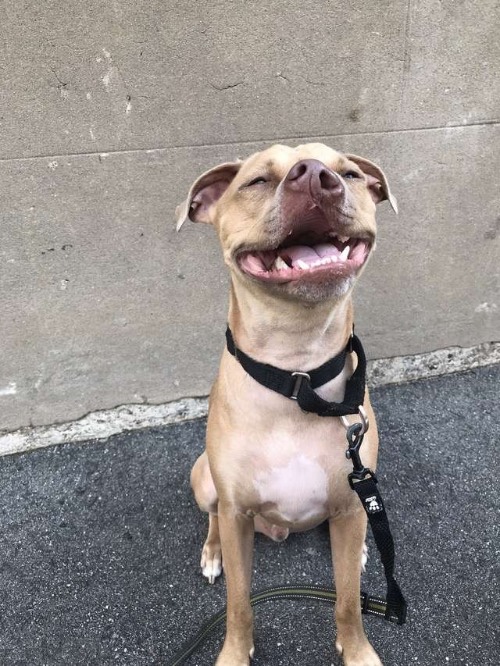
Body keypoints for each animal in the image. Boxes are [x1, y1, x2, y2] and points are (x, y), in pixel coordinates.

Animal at [178, 143, 396, 660]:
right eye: (257, 181)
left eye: (350, 173)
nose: (315, 176)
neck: (297, 374)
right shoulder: (237, 513)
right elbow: (239, 605)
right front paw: (234, 655)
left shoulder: (350, 502)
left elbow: (348, 602)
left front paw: (357, 652)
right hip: (204, 480)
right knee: (212, 515)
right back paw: (212, 551)